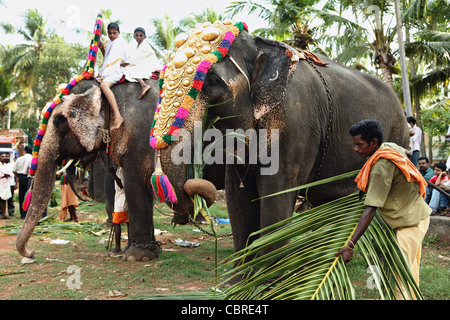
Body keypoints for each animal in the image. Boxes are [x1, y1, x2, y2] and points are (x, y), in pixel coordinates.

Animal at [16, 76, 163, 262]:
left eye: (59, 121)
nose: (32, 253)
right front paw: (153, 250)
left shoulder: (140, 136)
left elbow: (138, 182)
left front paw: (137, 257)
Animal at [151, 21, 412, 258]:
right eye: (161, 80)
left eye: (213, 81)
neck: (259, 45)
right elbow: (238, 199)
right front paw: (239, 278)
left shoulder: (295, 121)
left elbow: (276, 194)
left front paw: (268, 277)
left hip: (397, 140)